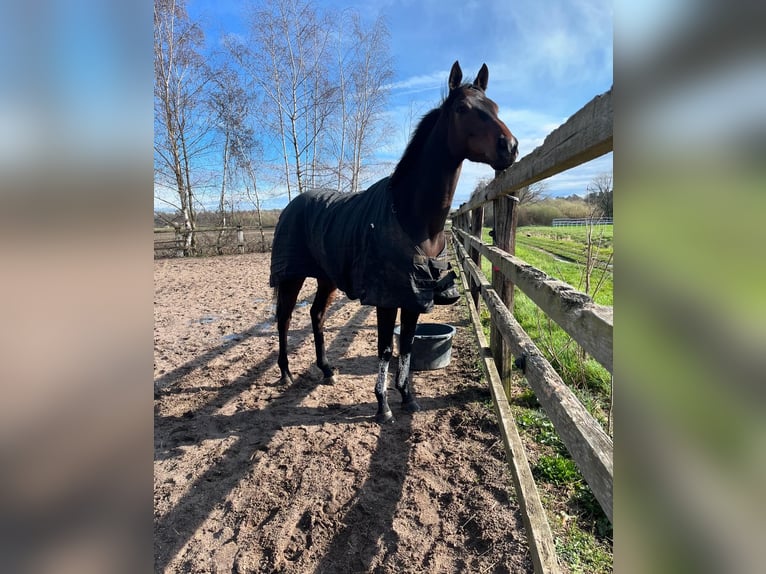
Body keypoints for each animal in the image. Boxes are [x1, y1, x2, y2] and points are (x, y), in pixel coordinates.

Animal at [268, 62, 520, 424]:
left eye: (495, 107)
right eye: (462, 109)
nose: (510, 147)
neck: (411, 216)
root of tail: (292, 205)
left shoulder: (415, 294)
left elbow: (408, 346)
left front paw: (408, 397)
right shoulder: (386, 296)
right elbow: (386, 348)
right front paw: (383, 406)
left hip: (327, 278)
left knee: (316, 315)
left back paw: (326, 369)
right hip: (291, 275)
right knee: (285, 318)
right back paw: (286, 373)